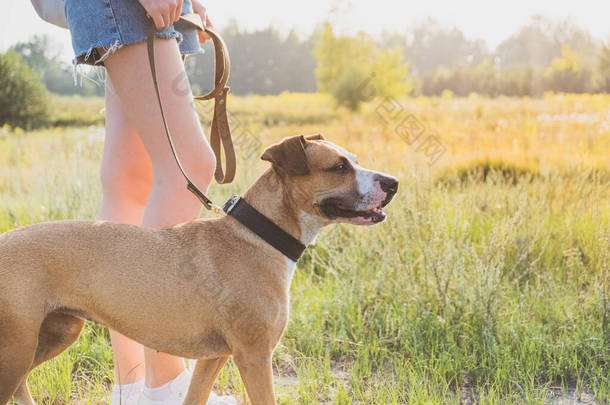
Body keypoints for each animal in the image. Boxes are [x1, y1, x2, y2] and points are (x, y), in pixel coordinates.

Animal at [0, 135, 394, 404]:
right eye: (339, 167)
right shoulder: (254, 356)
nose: (393, 182)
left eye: (353, 160)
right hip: (17, 348)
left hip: (56, 333)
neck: (260, 234)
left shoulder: (214, 358)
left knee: (20, 385)